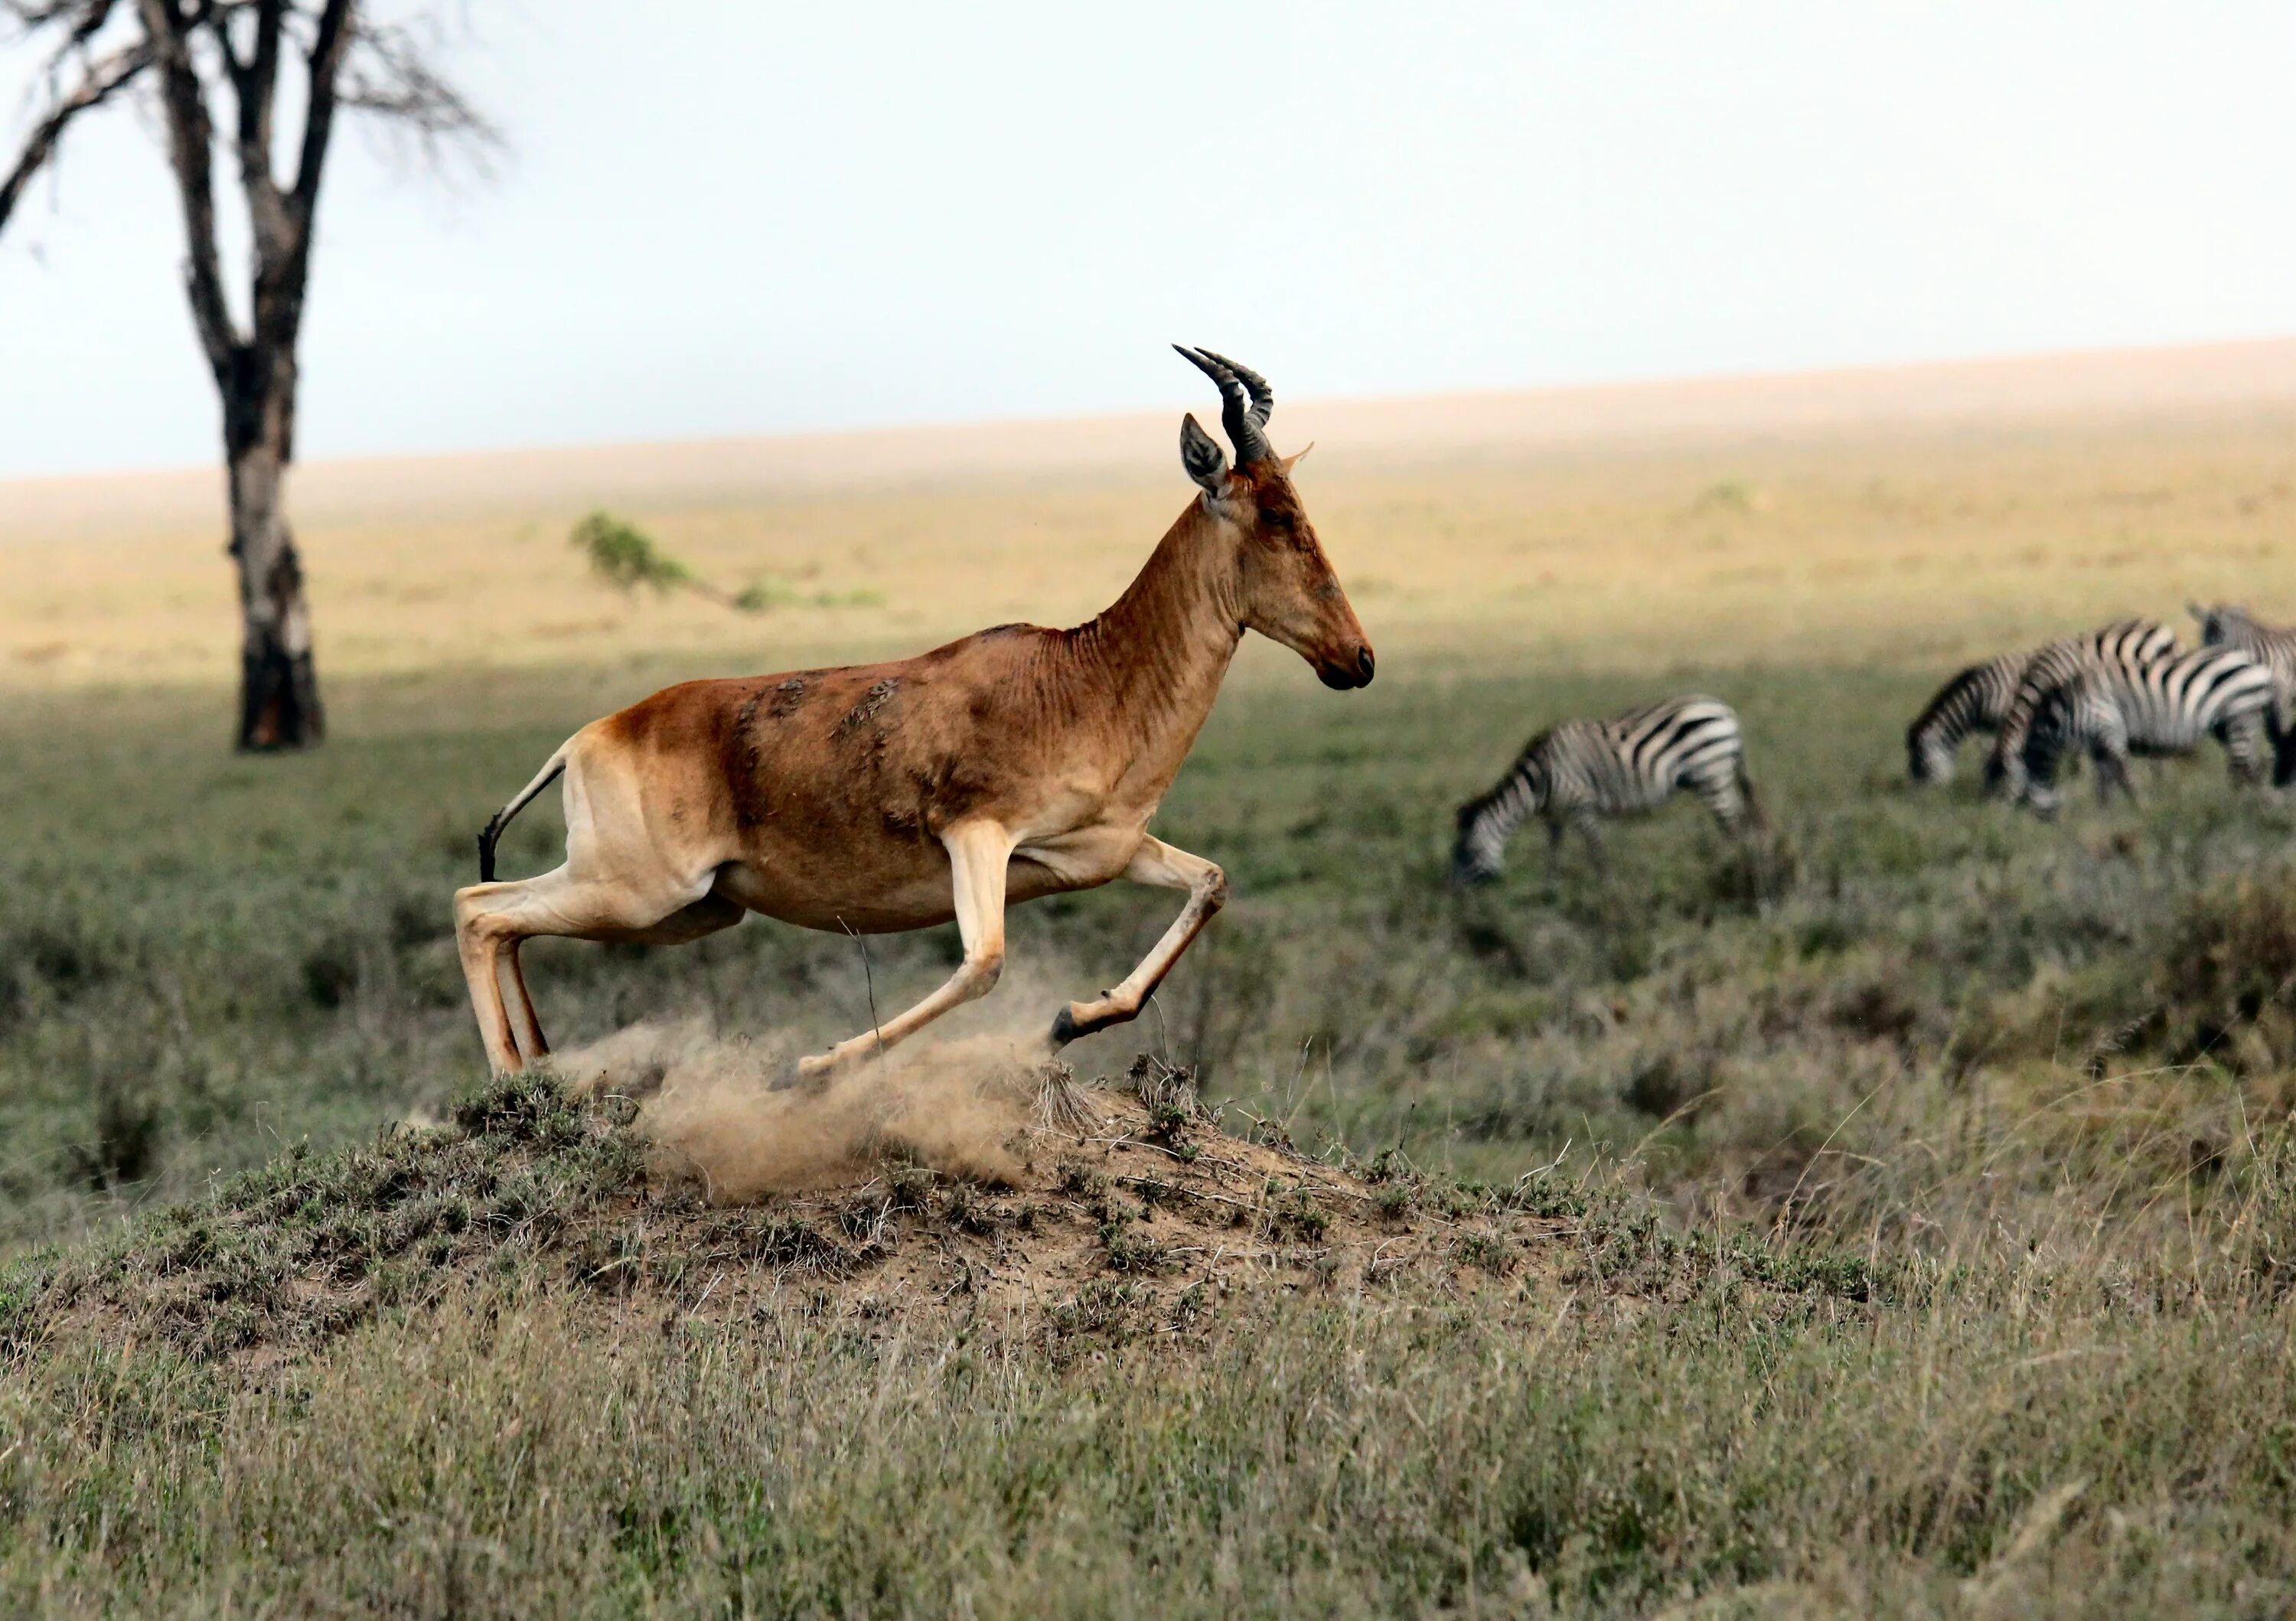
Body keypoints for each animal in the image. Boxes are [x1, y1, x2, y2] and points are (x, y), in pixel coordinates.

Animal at [1442, 689, 1763, 877]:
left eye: (1465, 852)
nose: (1455, 898)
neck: (1539, 782)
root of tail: (1725, 709)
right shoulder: (1555, 816)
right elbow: (1553, 854)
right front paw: (1551, 889)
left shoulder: (1581, 806)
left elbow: (1597, 853)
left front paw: (1607, 892)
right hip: (1718, 776)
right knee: (1739, 819)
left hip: (1712, 775)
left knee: (1733, 825)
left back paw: (1729, 866)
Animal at [1910, 611, 2177, 781]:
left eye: (1921, 767)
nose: (1920, 802)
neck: (1983, 694)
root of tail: (2161, 629)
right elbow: (1989, 749)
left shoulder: (2011, 715)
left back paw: (2160, 775)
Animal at [2011, 643, 2278, 813]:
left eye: (2020, 797)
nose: (2029, 828)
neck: (2069, 711)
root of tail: (2258, 666)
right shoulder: (2098, 745)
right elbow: (2104, 784)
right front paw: (2103, 817)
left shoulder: (2109, 730)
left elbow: (2124, 777)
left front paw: (2141, 808)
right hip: (2231, 724)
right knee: (2251, 766)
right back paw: (2252, 804)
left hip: (2241, 717)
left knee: (2244, 768)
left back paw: (2234, 808)